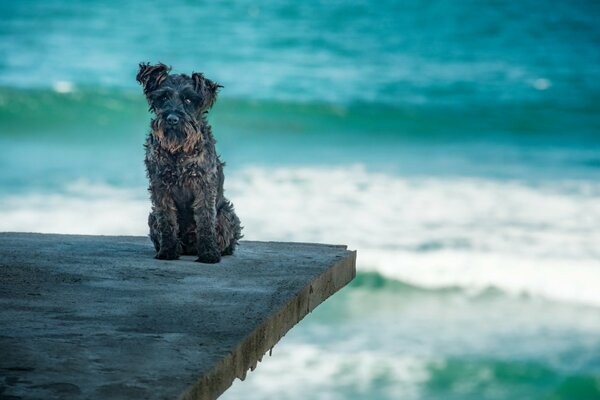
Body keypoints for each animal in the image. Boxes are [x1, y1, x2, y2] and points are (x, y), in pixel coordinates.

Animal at [138, 61, 241, 262]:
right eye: (163, 97)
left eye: (188, 100)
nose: (172, 119)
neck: (178, 151)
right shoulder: (160, 187)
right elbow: (167, 219)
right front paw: (168, 251)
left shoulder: (204, 185)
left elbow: (205, 220)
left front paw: (209, 254)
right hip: (152, 217)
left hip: (227, 214)